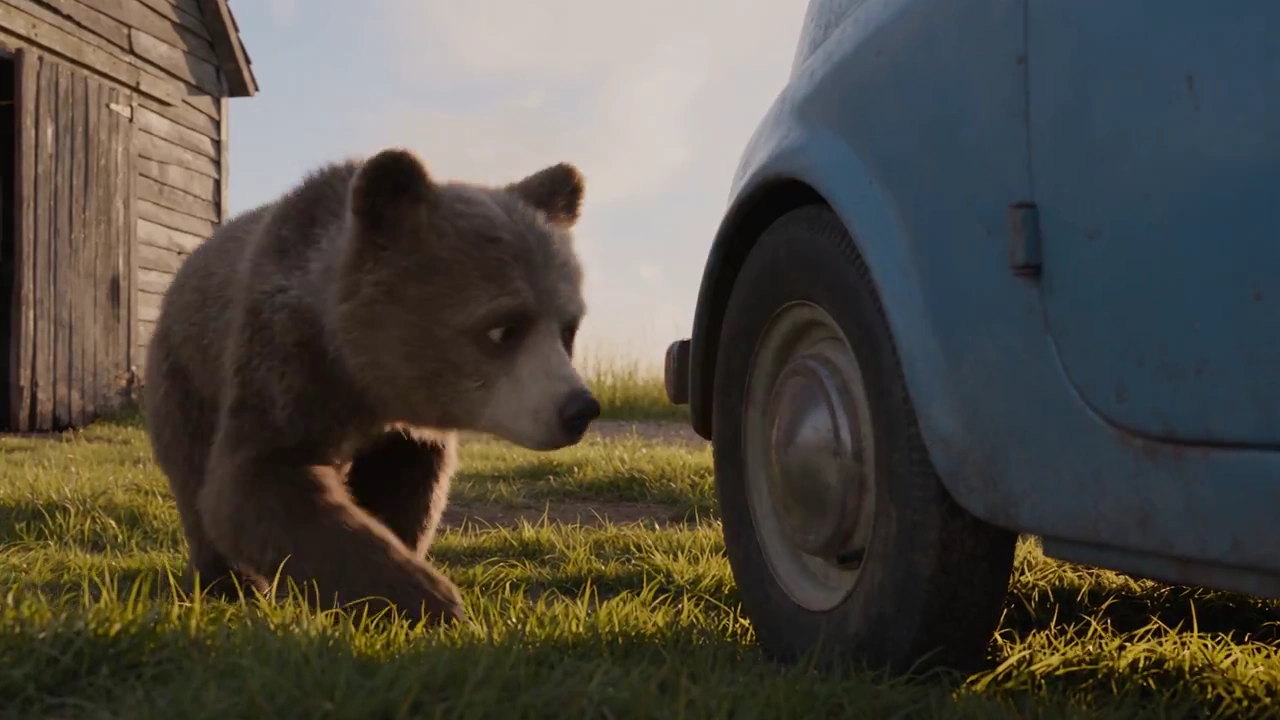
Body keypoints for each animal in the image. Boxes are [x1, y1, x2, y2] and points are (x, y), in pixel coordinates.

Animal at [142, 148, 600, 626]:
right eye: (503, 328)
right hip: (187, 372)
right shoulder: (284, 365)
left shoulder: (403, 433)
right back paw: (232, 582)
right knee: (192, 471)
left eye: (568, 328)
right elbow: (256, 481)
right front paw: (432, 599)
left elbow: (406, 486)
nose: (578, 408)